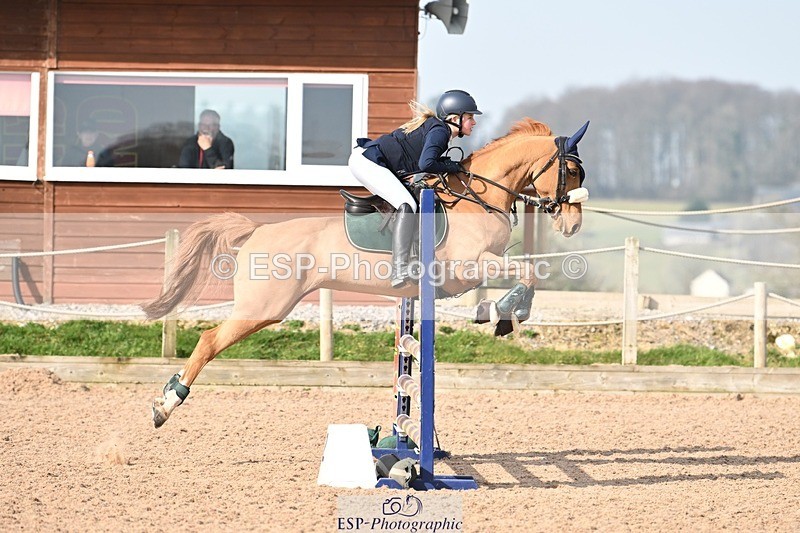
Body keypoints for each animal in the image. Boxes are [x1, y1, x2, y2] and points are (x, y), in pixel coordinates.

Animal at [143, 118, 590, 428]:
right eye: (572, 172)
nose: (572, 226)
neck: (479, 196)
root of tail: (257, 231)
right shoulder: (469, 266)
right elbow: (527, 272)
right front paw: (502, 315)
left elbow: (528, 272)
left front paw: (506, 315)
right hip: (265, 306)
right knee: (209, 340)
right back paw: (167, 404)